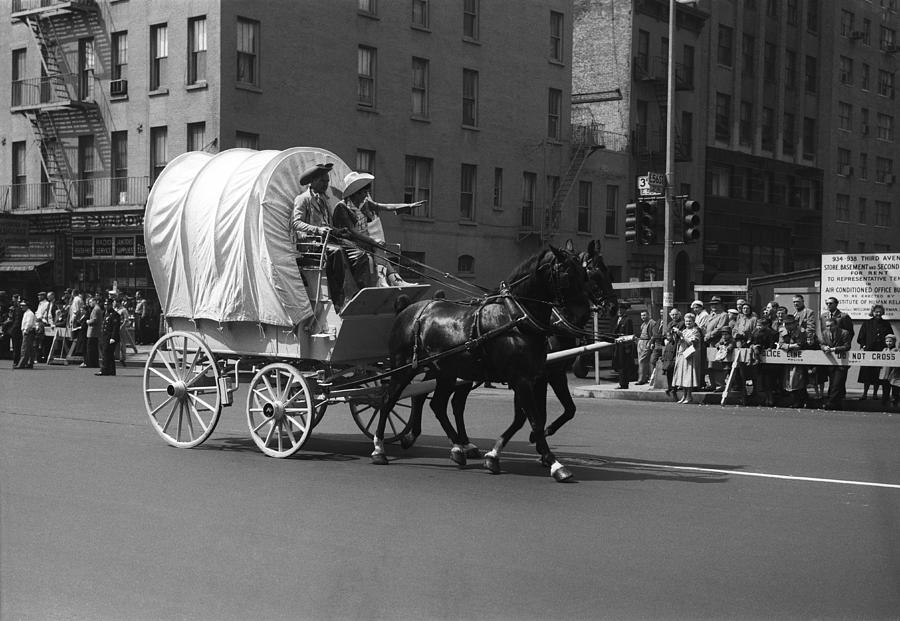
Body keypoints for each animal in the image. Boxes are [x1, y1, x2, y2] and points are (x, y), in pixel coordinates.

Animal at [372, 246, 596, 480]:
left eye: (584, 274)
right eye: (566, 274)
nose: (583, 313)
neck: (516, 317)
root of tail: (407, 309)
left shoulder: (531, 377)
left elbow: (524, 418)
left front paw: (494, 455)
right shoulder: (525, 379)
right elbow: (534, 419)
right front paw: (554, 463)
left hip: (445, 372)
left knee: (437, 404)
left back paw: (457, 448)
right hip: (403, 368)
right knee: (388, 401)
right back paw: (379, 448)